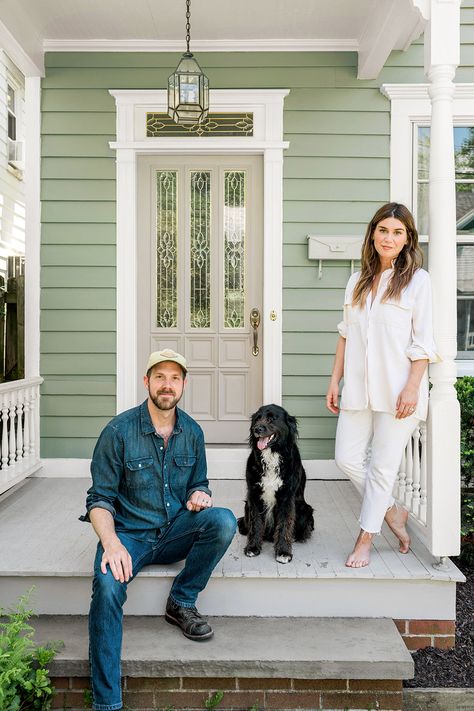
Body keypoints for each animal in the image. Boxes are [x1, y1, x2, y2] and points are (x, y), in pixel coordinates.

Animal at [239, 406, 312, 560]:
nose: (256, 429)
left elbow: (285, 525)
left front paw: (284, 552)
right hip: (246, 505)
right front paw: (253, 547)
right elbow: (255, 523)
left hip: (305, 509)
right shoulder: (254, 496)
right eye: (257, 418)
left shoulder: (287, 498)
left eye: (271, 419)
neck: (271, 456)